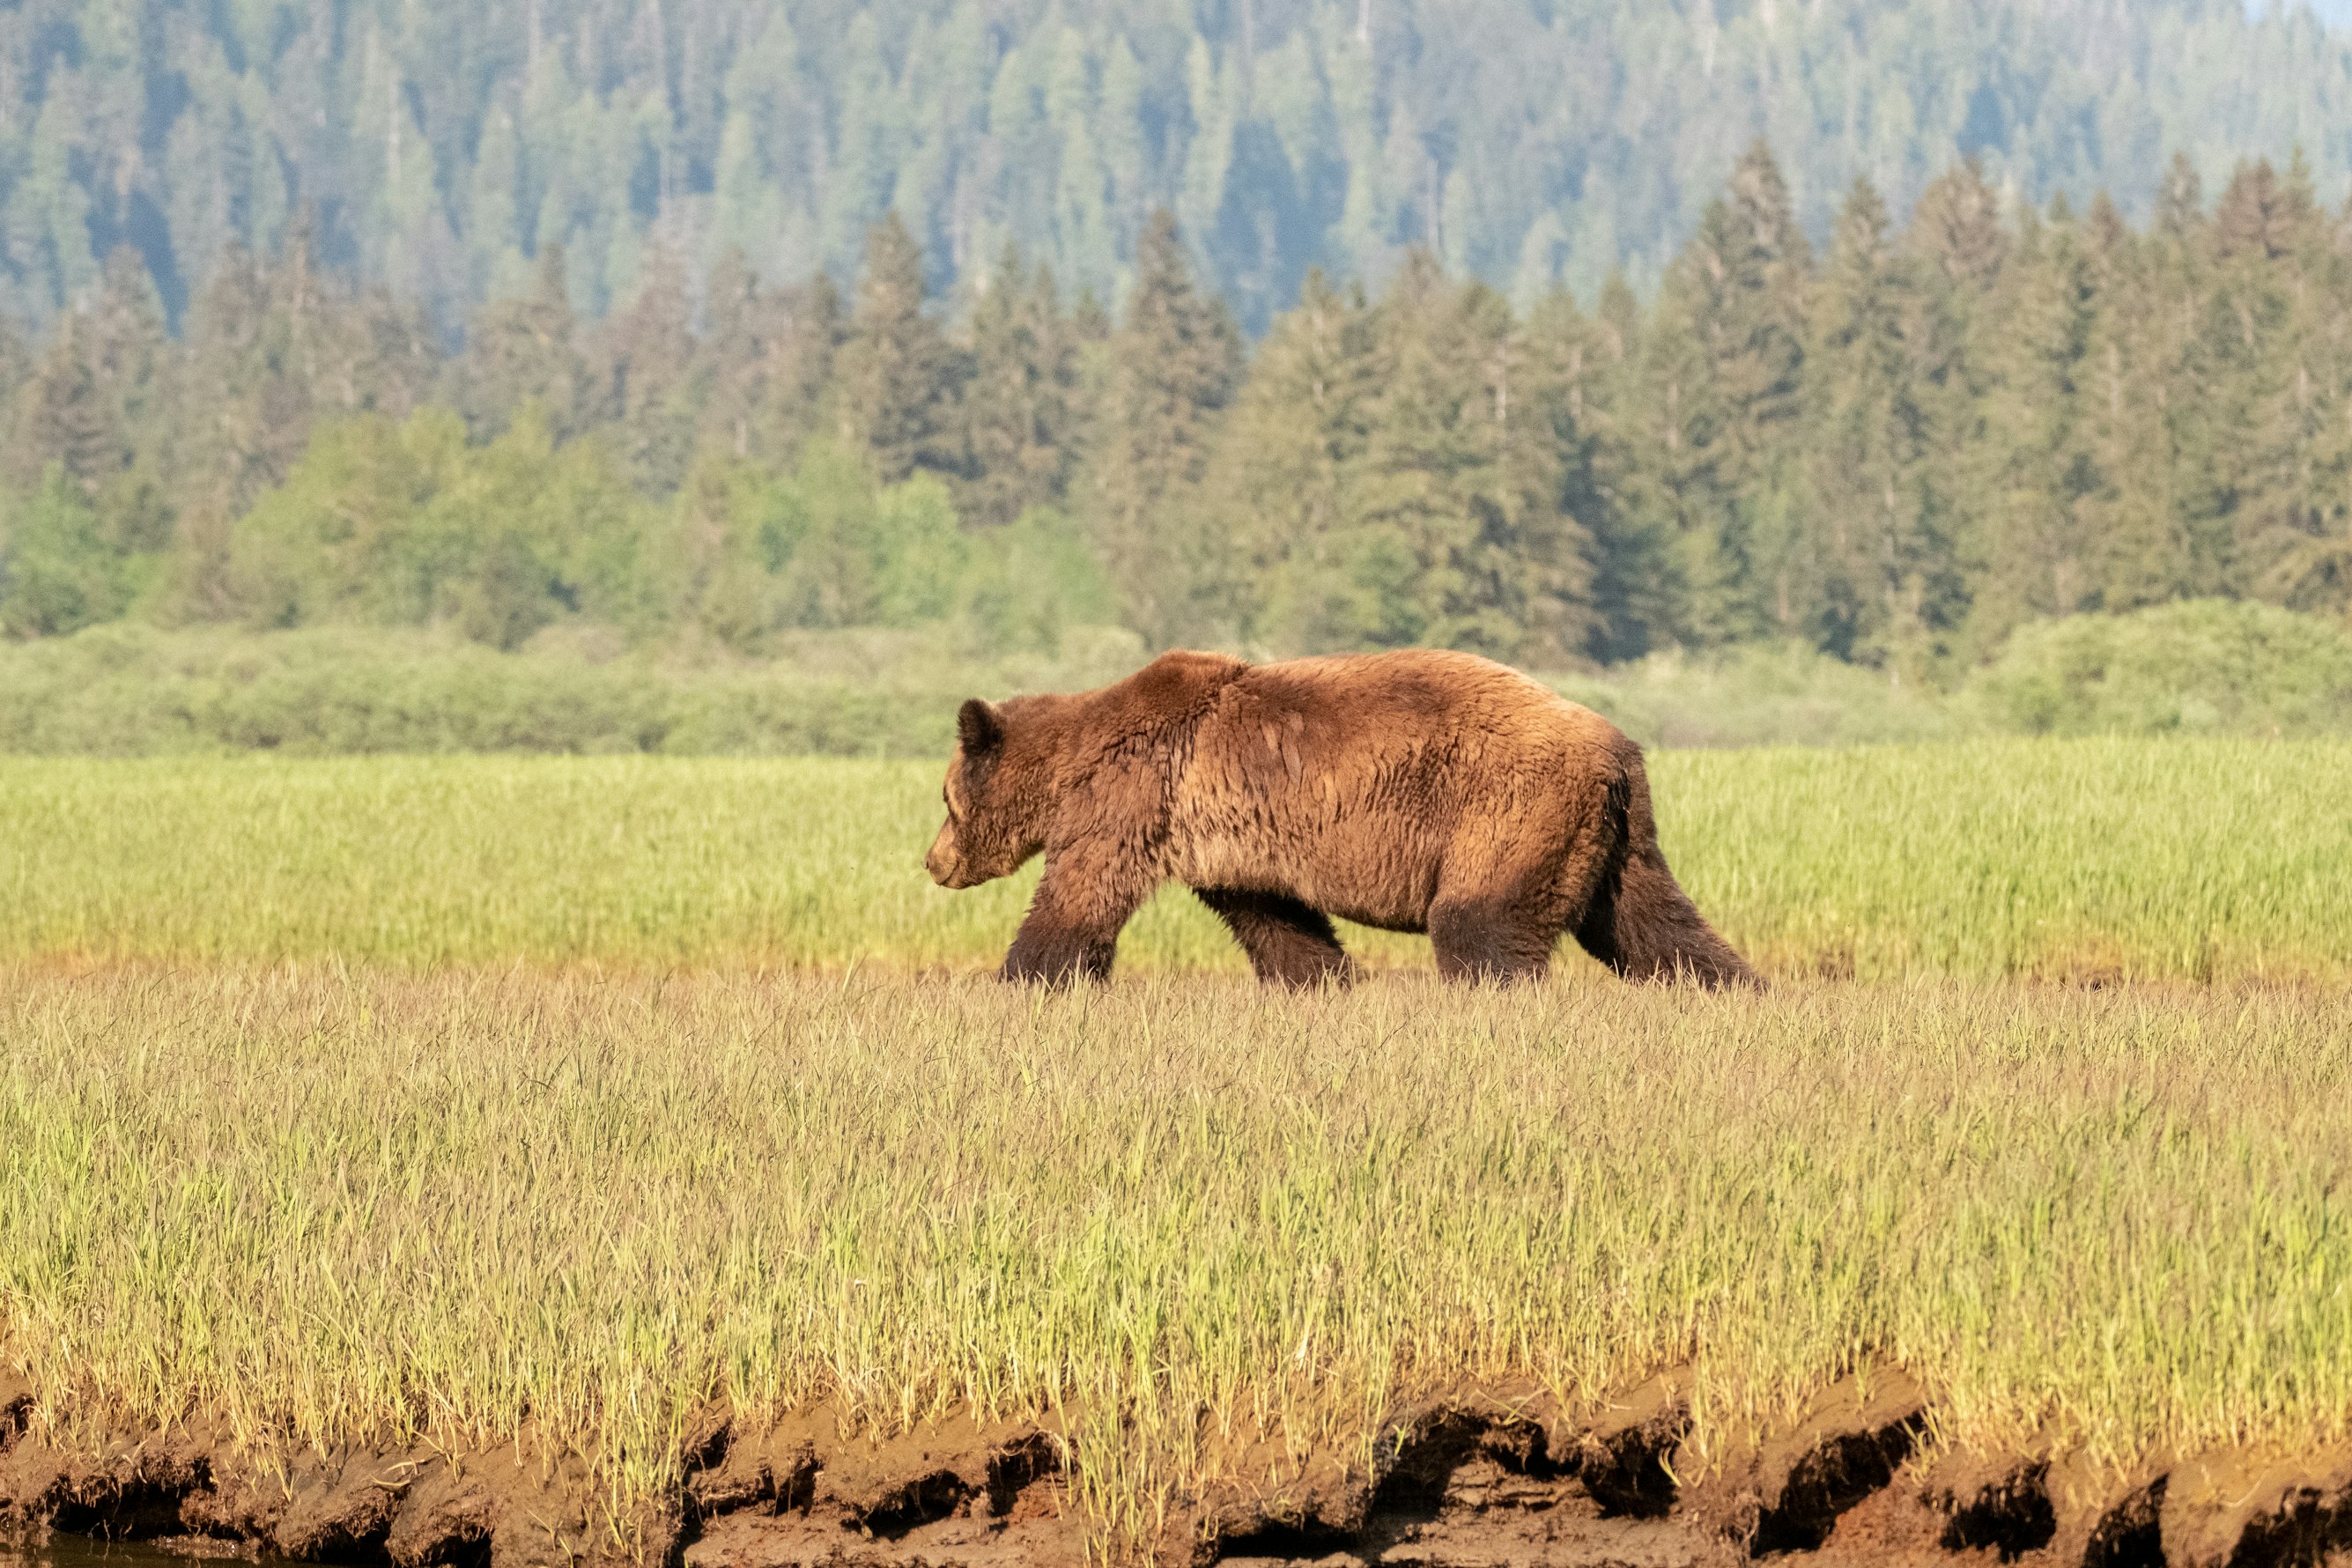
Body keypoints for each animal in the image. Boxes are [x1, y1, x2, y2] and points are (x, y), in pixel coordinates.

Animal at [926, 644, 1759, 987]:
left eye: (943, 797)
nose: (933, 862)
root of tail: (1616, 746)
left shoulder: (1132, 800)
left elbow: (1077, 903)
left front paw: (1022, 981)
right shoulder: (1232, 844)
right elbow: (1280, 923)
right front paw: (1322, 981)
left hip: (1507, 809)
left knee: (1482, 925)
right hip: (1614, 837)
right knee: (1654, 927)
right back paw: (1734, 990)